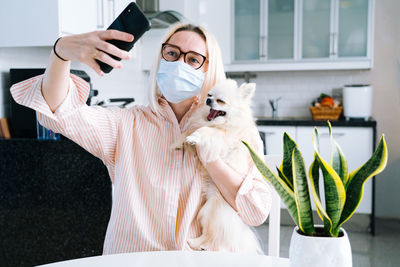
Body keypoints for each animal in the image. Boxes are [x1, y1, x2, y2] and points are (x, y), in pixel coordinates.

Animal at [173, 78, 262, 254]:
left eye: (220, 101)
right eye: (209, 95)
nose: (208, 101)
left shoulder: (222, 137)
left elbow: (206, 131)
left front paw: (194, 138)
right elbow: (187, 132)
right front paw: (179, 143)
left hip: (214, 212)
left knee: (212, 237)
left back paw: (197, 244)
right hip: (206, 211)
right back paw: (195, 243)